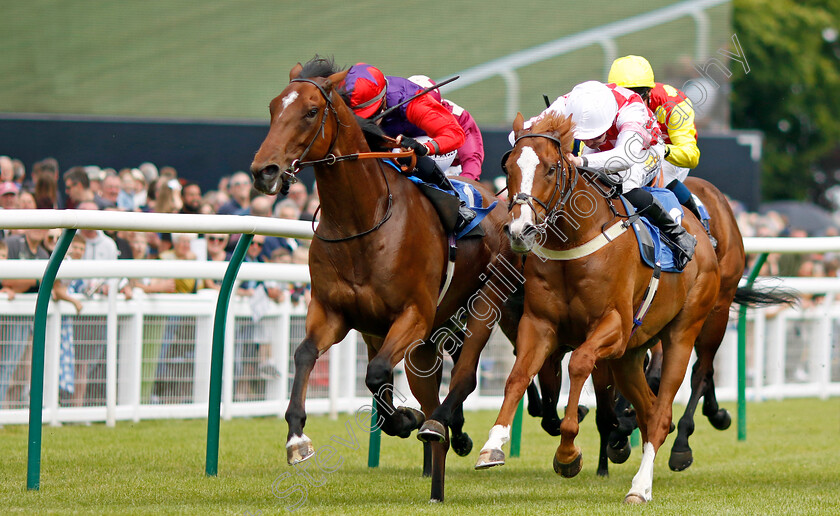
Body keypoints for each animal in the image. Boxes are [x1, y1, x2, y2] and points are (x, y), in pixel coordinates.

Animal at [248, 57, 520, 504]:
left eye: (310, 111)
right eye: (272, 108)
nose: (264, 171)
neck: (363, 221)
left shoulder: (413, 314)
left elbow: (375, 375)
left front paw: (407, 419)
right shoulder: (337, 314)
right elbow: (306, 355)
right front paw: (297, 438)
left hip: (483, 303)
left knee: (464, 374)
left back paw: (443, 432)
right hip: (423, 344)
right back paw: (444, 446)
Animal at [476, 111, 720, 502]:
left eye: (549, 169)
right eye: (509, 166)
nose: (520, 230)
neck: (574, 241)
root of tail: (703, 234)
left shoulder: (613, 326)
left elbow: (578, 363)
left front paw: (568, 453)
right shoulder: (539, 323)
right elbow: (517, 375)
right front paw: (493, 445)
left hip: (684, 333)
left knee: (663, 413)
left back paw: (640, 487)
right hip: (630, 355)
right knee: (649, 411)